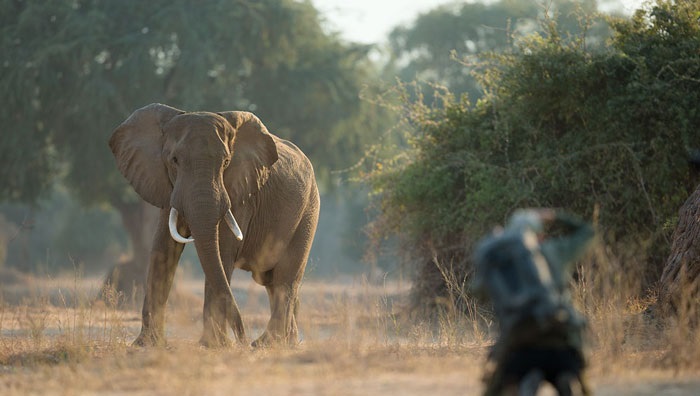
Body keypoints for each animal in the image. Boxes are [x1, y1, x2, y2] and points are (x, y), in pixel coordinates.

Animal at [108, 102, 320, 346]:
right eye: (174, 160)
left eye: (226, 162)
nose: (242, 338)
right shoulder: (166, 186)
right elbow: (164, 249)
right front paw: (146, 344)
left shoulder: (240, 192)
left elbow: (223, 250)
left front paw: (213, 345)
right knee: (271, 282)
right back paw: (282, 342)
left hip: (308, 212)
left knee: (286, 279)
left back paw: (266, 343)